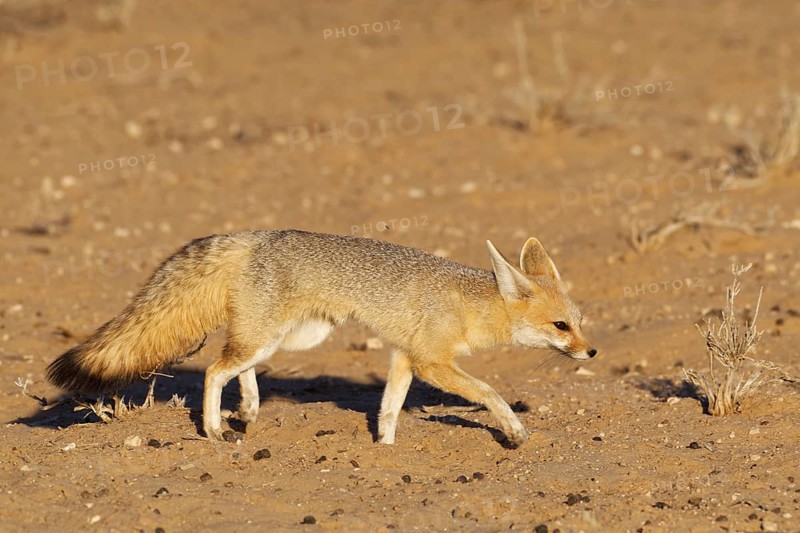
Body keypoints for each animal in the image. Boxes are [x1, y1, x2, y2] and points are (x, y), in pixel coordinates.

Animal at [47, 230, 596, 447]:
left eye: (580, 321)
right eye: (561, 327)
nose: (592, 350)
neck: (469, 303)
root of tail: (259, 236)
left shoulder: (404, 358)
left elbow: (389, 408)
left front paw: (384, 450)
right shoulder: (431, 362)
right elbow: (488, 392)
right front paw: (514, 430)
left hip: (292, 338)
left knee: (236, 365)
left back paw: (247, 409)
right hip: (274, 337)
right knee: (215, 369)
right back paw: (216, 429)